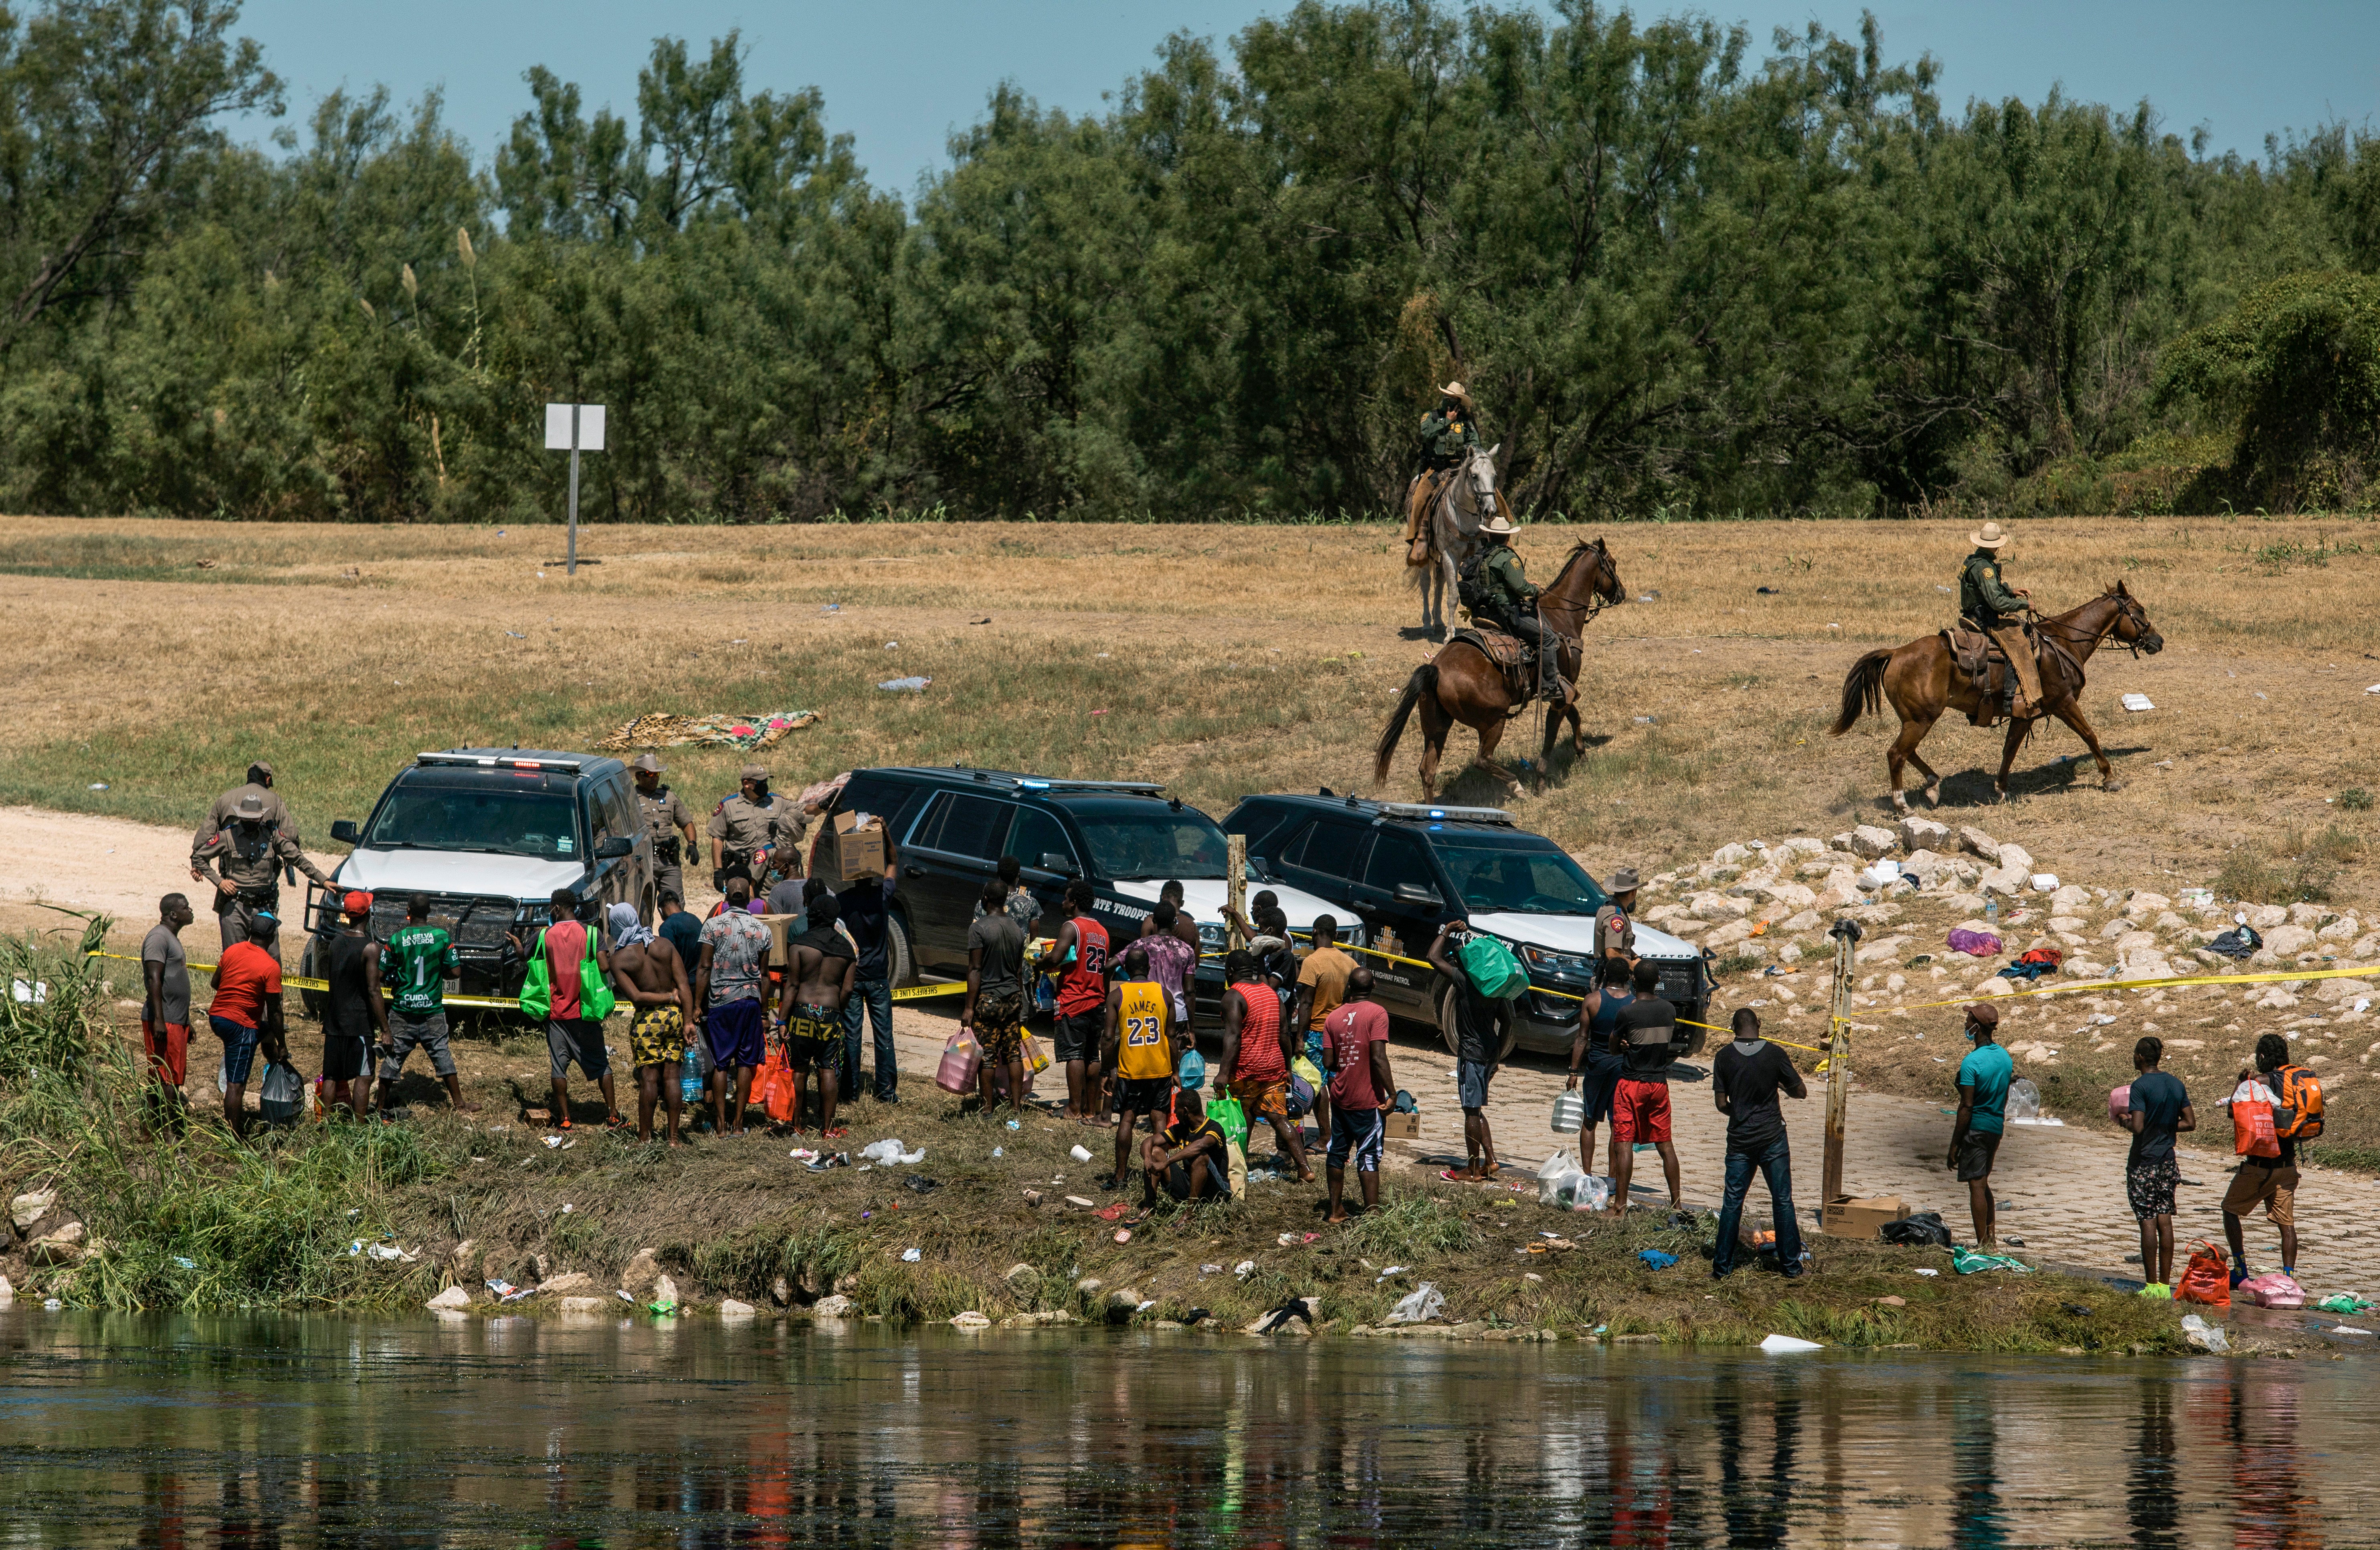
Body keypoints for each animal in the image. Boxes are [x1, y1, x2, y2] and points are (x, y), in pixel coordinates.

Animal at [1371, 535, 1628, 800]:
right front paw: (1541, 782)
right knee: (1482, 760)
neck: (1562, 616)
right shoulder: (1560, 692)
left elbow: (1575, 718)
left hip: (1436, 726)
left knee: (1428, 770)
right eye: (1613, 564)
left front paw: (1582, 755)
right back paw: (1516, 786)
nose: (1623, 593)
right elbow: (1551, 736)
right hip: (1494, 720)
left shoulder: (1565, 689)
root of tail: (1436, 670)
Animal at [1409, 445, 1504, 638]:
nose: (1490, 510)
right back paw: (1427, 625)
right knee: (1426, 584)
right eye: (1474, 476)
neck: (1466, 516)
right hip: (1426, 554)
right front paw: (1450, 635)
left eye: (1494, 476)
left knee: (1440, 581)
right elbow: (1453, 597)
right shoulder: (1450, 555)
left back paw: (1438, 622)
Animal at [1828, 581, 2170, 814]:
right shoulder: (2063, 703)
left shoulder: (2025, 714)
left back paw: (1934, 785)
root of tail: (1896, 653)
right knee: (1896, 754)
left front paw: (2001, 789)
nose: (2158, 641)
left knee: (1907, 752)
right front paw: (2110, 777)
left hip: (1917, 720)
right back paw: (1903, 805)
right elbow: (2090, 735)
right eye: (2140, 611)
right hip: (1920, 719)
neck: (2063, 641)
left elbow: (2010, 750)